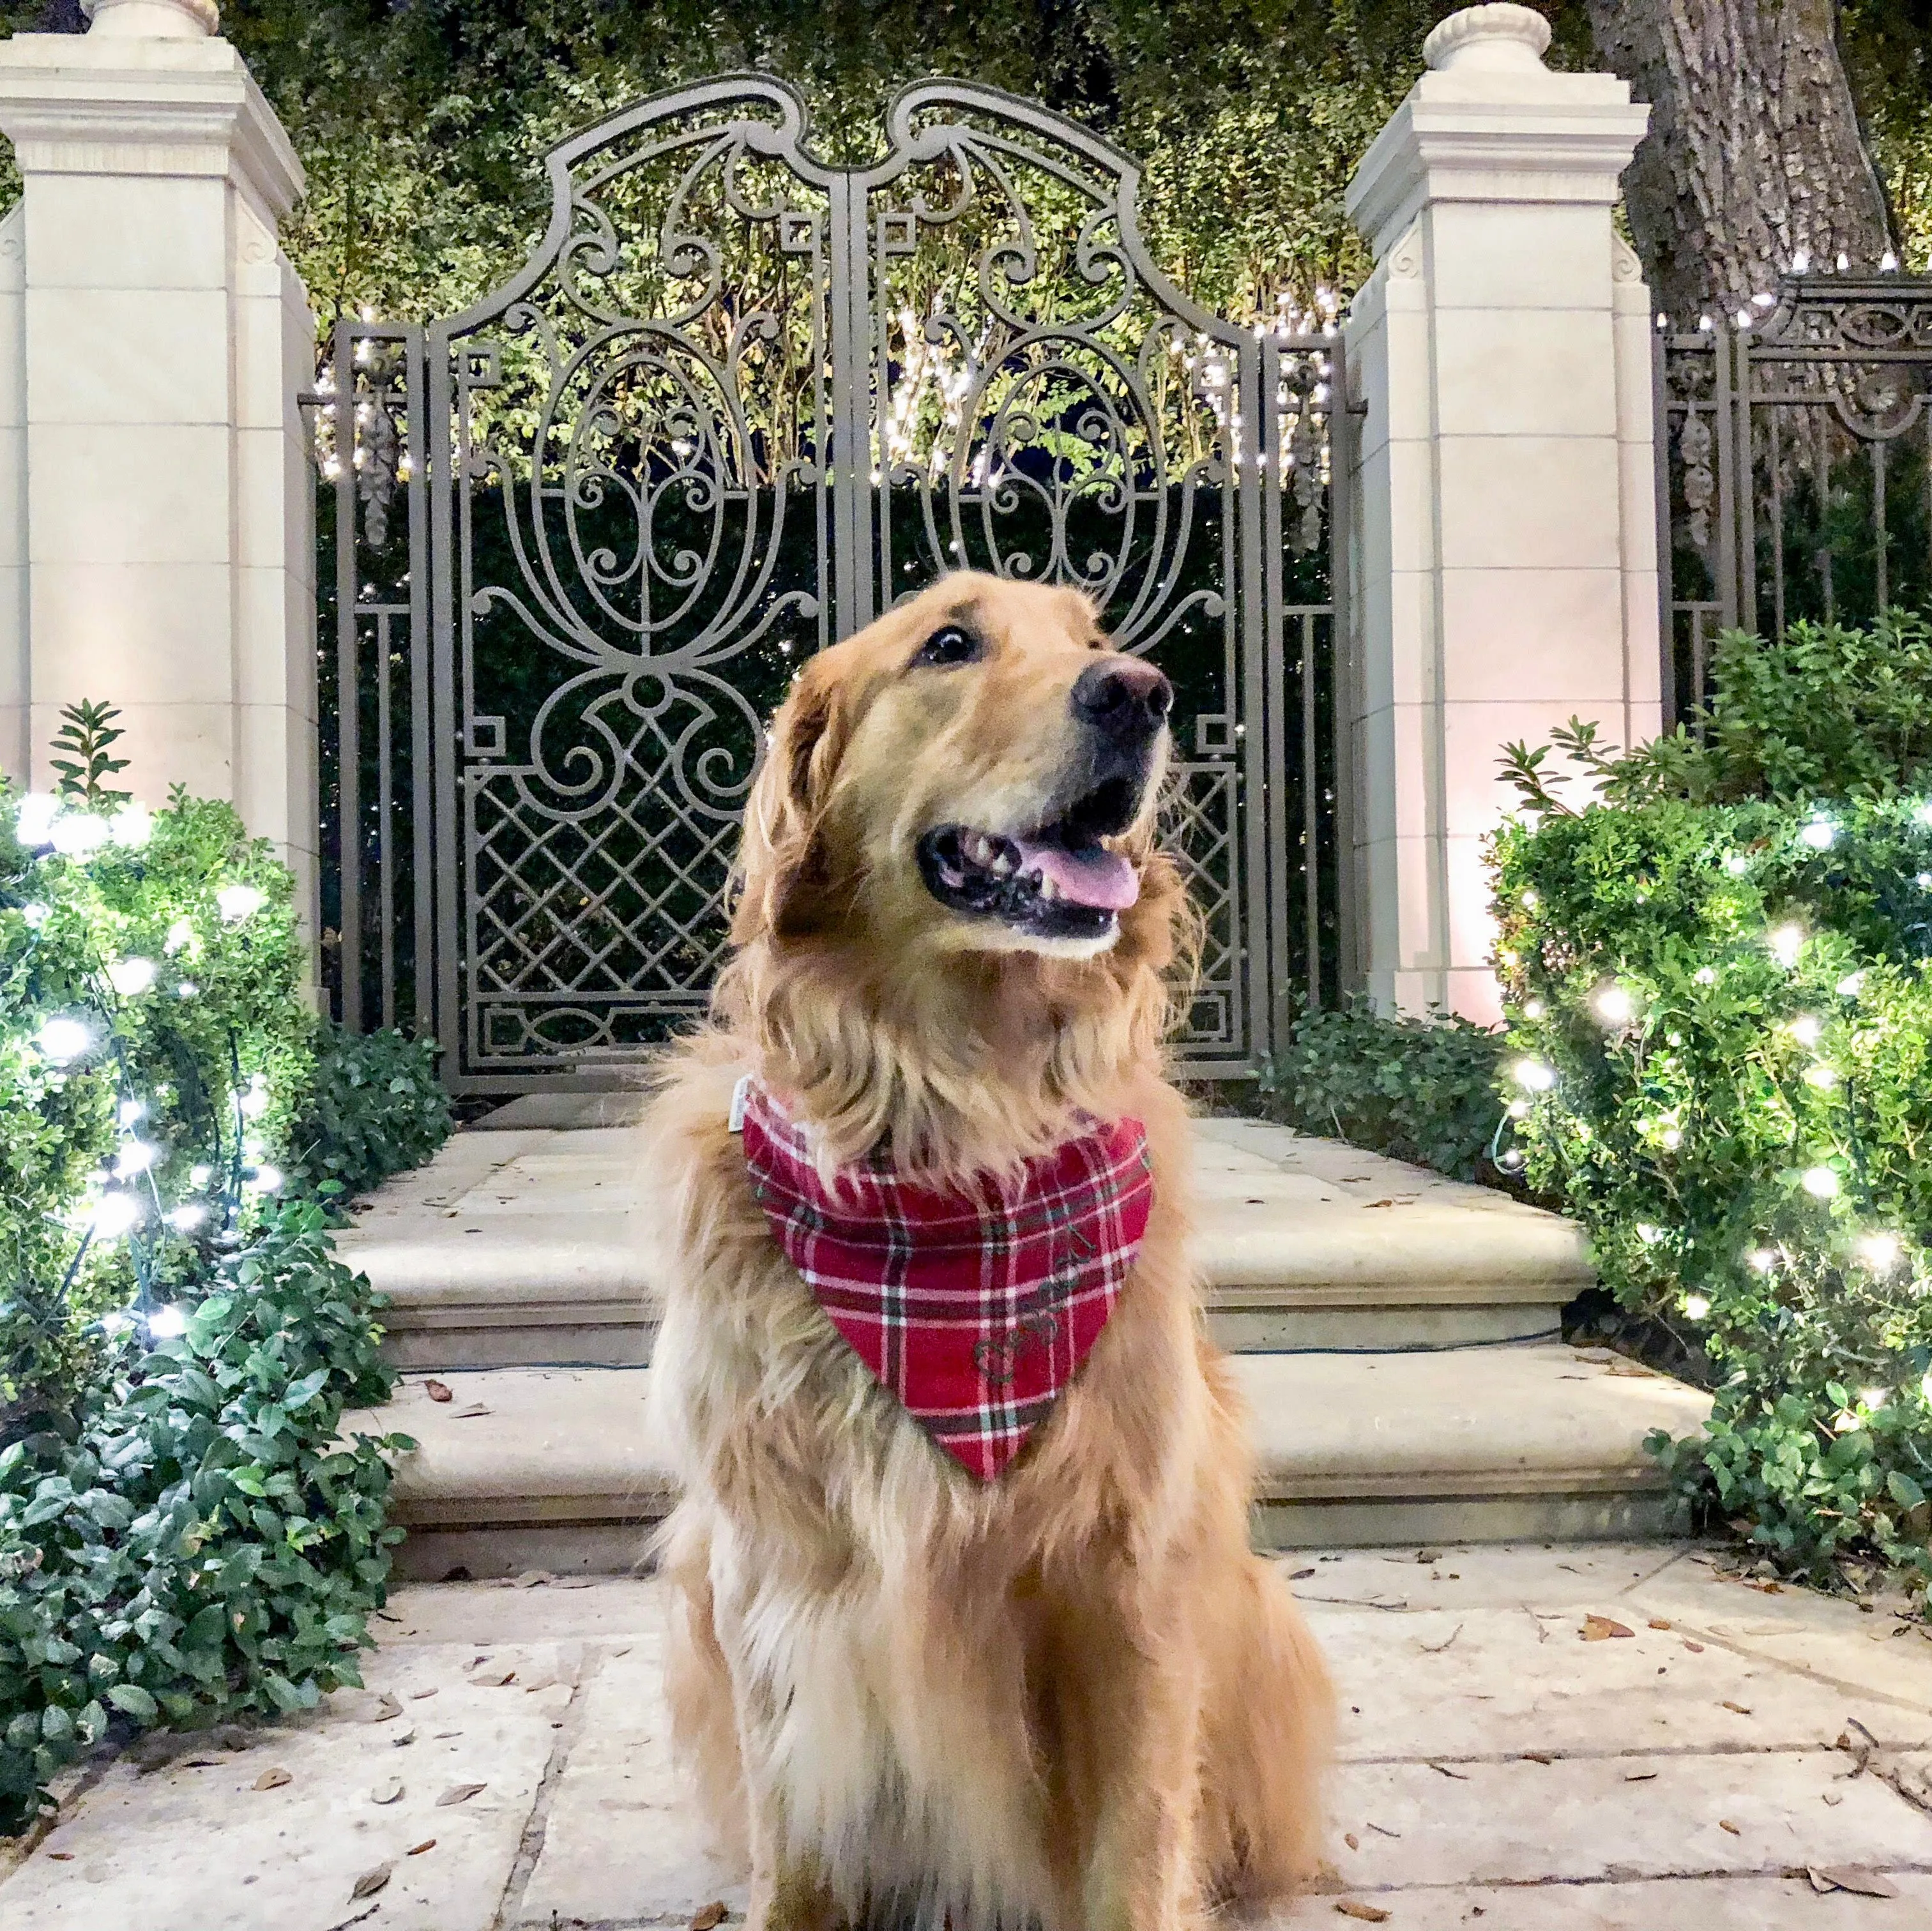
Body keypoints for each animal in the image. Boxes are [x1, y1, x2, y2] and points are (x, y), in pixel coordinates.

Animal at [641, 572, 1337, 1931]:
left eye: (1094, 635)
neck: (954, 1144)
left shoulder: (1129, 1579)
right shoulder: (768, 1573)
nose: (1144, 692)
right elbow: (793, 1847)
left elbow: (1138, 1856)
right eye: (950, 642)